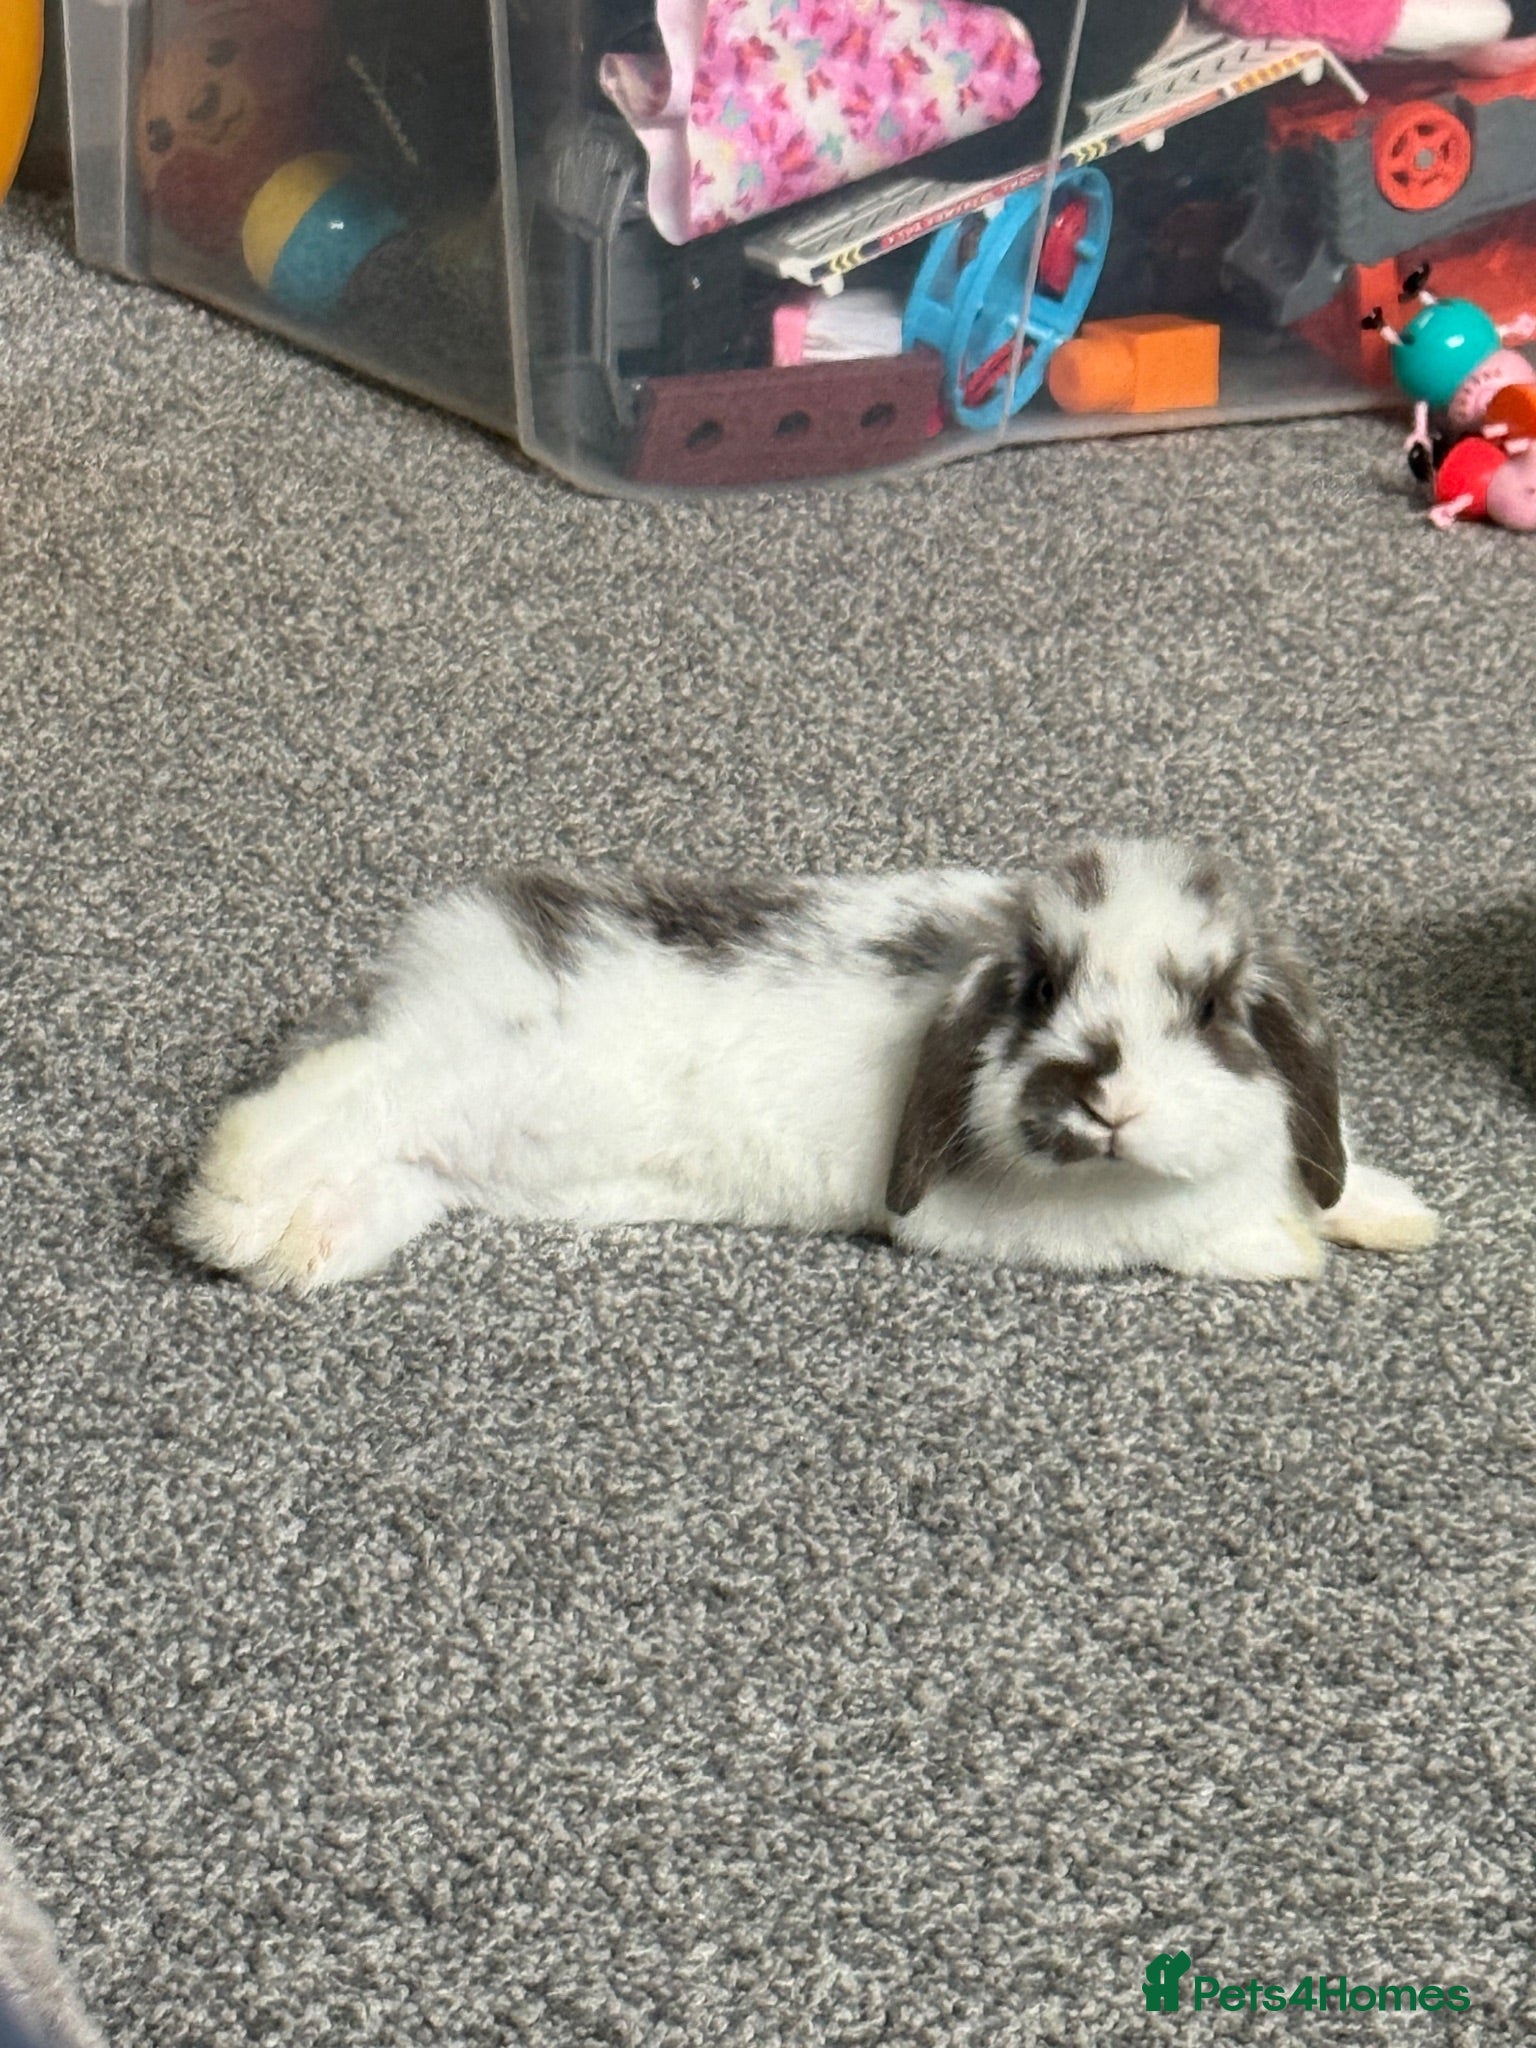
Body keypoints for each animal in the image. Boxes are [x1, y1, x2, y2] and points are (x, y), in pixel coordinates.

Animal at [175, 837, 1437, 1293]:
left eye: (1214, 1007)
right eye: (1038, 988)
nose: (1111, 1096)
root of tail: (412, 965)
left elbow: (1336, 1178)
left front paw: (1394, 1214)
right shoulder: (1002, 1222)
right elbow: (1174, 1233)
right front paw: (1285, 1245)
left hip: (434, 1164)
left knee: (372, 1158)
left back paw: (296, 1248)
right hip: (447, 1058)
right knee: (331, 1091)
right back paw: (223, 1208)